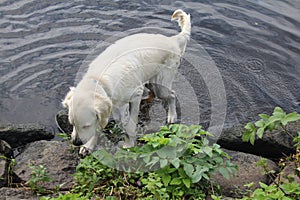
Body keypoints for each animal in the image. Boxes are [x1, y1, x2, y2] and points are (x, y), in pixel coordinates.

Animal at [62, 9, 191, 156]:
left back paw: (172, 116)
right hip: (149, 81)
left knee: (172, 94)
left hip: (160, 85)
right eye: (72, 123)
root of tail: (173, 39)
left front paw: (128, 144)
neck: (100, 81)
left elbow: (130, 124)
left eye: (85, 126)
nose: (76, 142)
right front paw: (89, 145)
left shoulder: (135, 95)